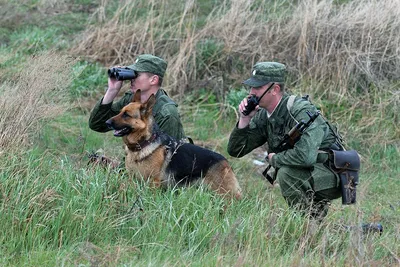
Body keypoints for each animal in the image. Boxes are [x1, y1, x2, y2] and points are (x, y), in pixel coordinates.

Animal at [104, 91, 242, 200]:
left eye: (126, 115)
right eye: (120, 112)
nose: (107, 122)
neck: (143, 144)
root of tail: (226, 161)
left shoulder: (153, 183)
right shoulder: (132, 180)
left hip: (224, 195)